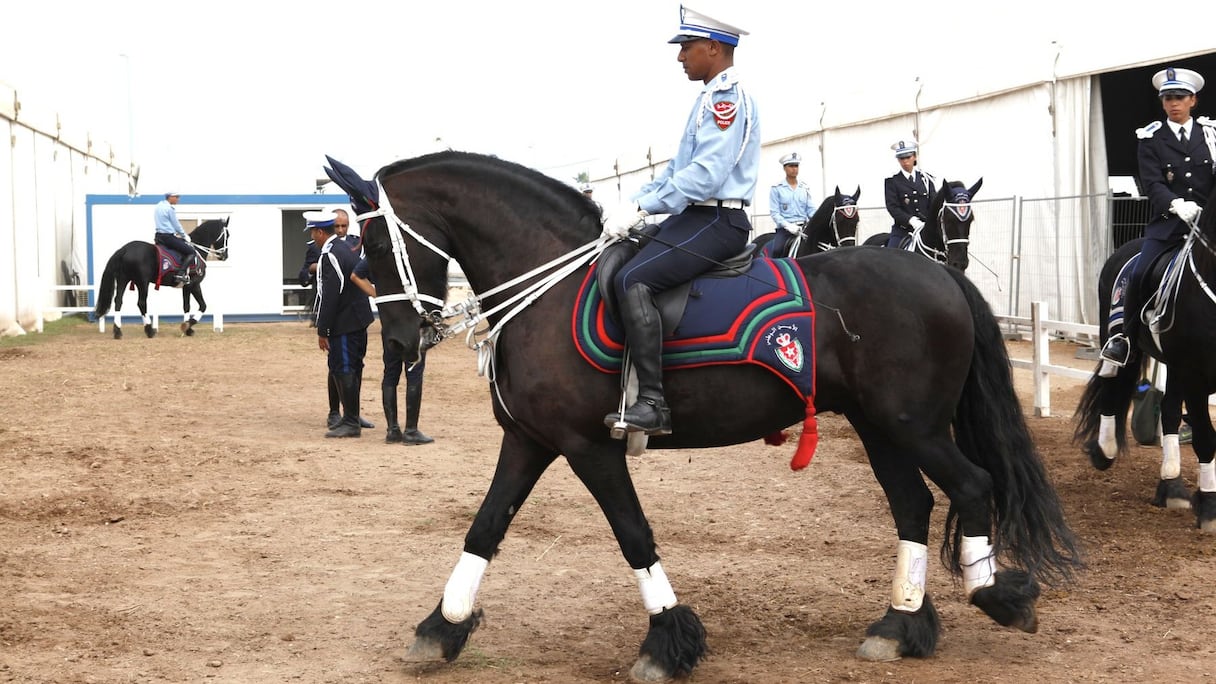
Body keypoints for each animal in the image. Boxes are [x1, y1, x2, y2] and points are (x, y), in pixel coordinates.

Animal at [91, 215, 228, 338]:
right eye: (228, 235)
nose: (225, 256)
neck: (197, 251)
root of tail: (124, 249)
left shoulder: (187, 286)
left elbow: (186, 306)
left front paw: (187, 329)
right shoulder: (194, 284)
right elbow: (202, 306)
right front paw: (188, 325)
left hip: (123, 279)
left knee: (118, 301)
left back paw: (118, 331)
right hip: (142, 282)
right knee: (141, 303)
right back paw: (149, 330)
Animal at [321, 151, 1074, 676]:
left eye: (378, 246)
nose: (399, 342)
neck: (547, 285)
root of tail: (940, 275)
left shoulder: (588, 446)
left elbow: (633, 534)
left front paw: (668, 639)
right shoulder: (531, 440)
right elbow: (484, 527)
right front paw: (441, 627)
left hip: (910, 424)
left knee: (972, 485)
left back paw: (997, 597)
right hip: (880, 426)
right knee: (914, 505)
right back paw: (900, 625)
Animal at [1074, 182, 1216, 528]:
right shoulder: (1195, 376)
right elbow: (1207, 438)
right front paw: (1208, 506)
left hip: (1174, 365)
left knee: (1168, 411)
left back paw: (1172, 487)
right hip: (1118, 339)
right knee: (1112, 385)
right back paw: (1104, 451)